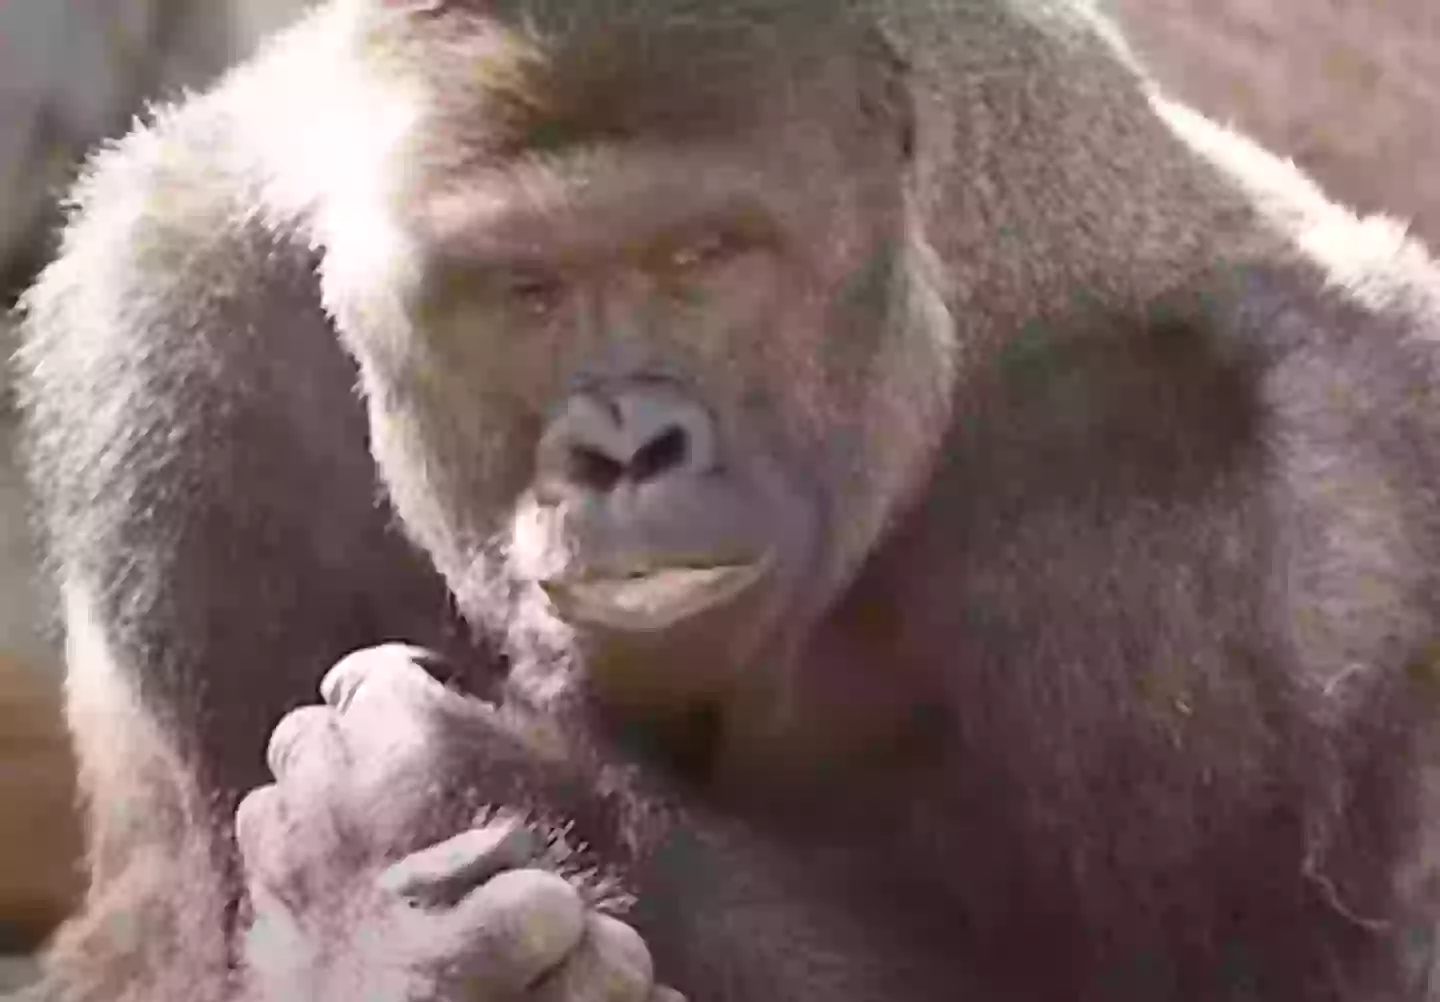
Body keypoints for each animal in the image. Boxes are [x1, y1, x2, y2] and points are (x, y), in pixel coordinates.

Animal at [13, 0, 1440, 999]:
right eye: (527, 290)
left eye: (704, 257)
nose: (626, 448)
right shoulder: (170, 340)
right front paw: (383, 940)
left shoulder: (1312, 520)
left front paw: (436, 810)